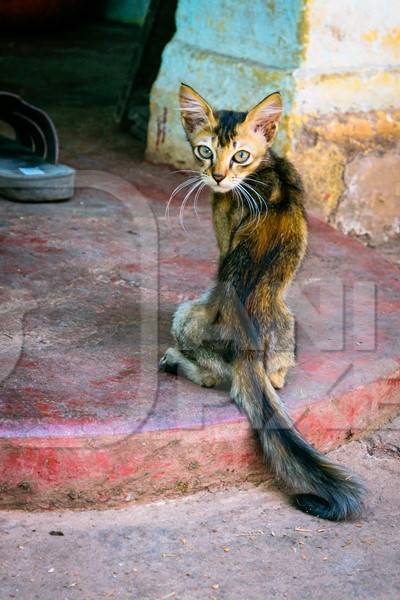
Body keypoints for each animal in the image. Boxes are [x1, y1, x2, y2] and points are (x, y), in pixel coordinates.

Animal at [158, 83, 364, 520]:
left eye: (240, 155)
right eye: (205, 150)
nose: (217, 177)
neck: (267, 165)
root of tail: (249, 346)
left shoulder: (222, 239)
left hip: (185, 314)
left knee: (212, 377)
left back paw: (175, 360)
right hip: (288, 323)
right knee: (276, 379)